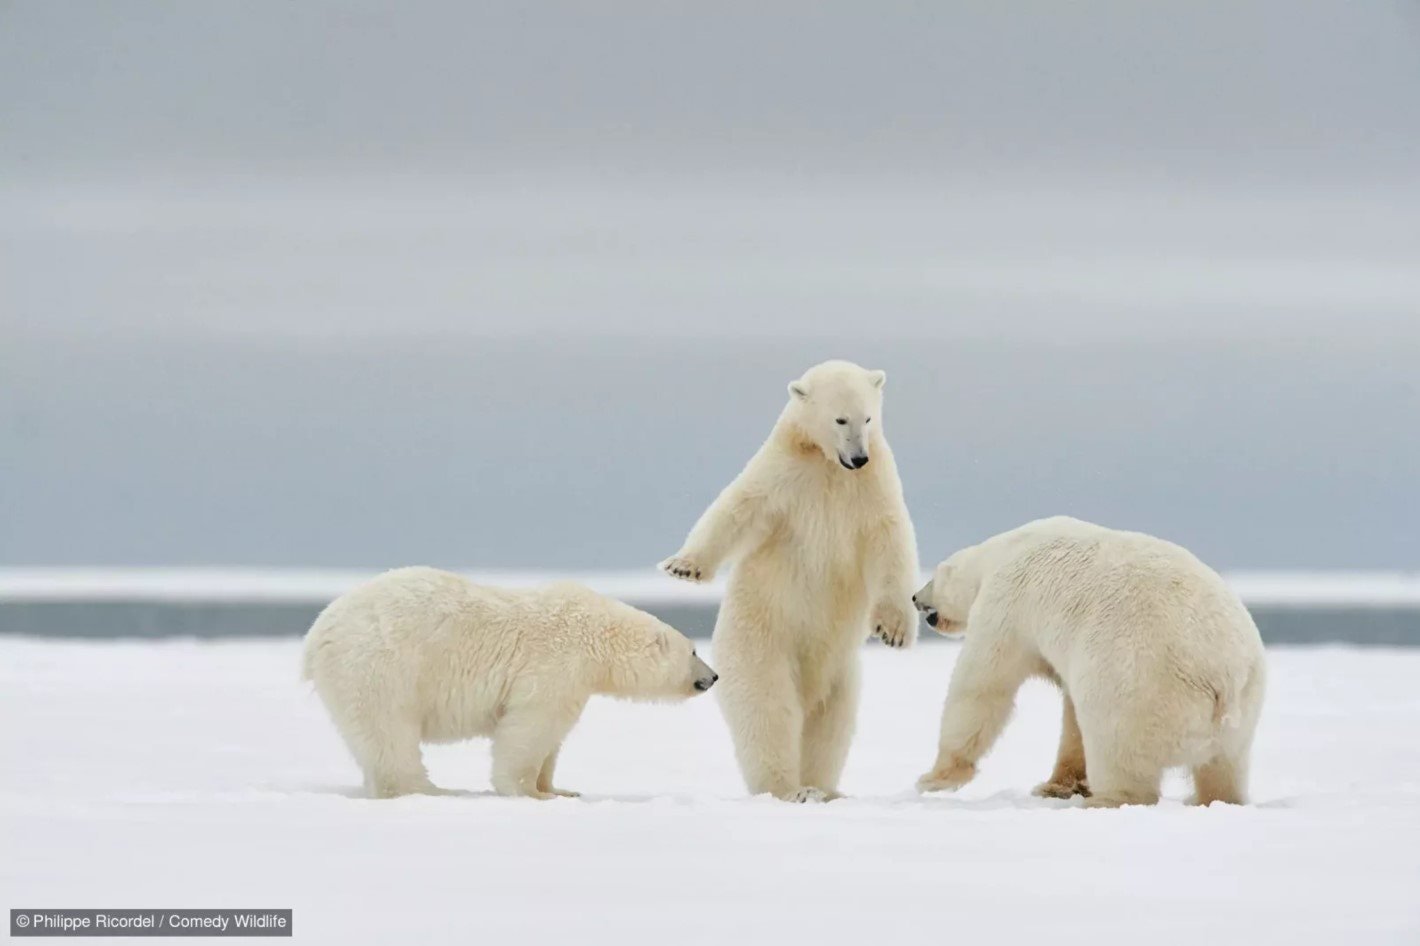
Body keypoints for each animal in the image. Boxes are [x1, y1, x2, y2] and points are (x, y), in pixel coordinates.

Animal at [303, 568, 715, 795]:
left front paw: (560, 789)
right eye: (694, 651)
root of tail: (316, 634)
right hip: (378, 666)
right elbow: (530, 728)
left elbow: (552, 740)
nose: (712, 676)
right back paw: (428, 789)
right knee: (390, 734)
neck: (596, 634)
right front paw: (532, 792)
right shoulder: (556, 664)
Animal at [661, 357, 920, 801]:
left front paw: (894, 631)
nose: (859, 457)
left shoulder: (873, 487)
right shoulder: (784, 474)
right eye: (840, 418)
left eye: (868, 417)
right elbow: (738, 507)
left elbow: (890, 543)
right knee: (769, 711)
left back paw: (823, 788)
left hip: (842, 672)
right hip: (762, 642)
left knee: (830, 724)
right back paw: (789, 788)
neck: (828, 465)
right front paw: (684, 566)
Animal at [914, 517, 1272, 801]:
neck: (1006, 548)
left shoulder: (1006, 604)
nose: (916, 597)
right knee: (1224, 767)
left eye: (934, 577)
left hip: (1139, 685)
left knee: (1117, 750)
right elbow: (1071, 715)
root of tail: (1223, 676)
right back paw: (1212, 799)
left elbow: (982, 685)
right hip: (1244, 710)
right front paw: (1058, 785)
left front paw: (933, 778)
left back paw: (1106, 800)